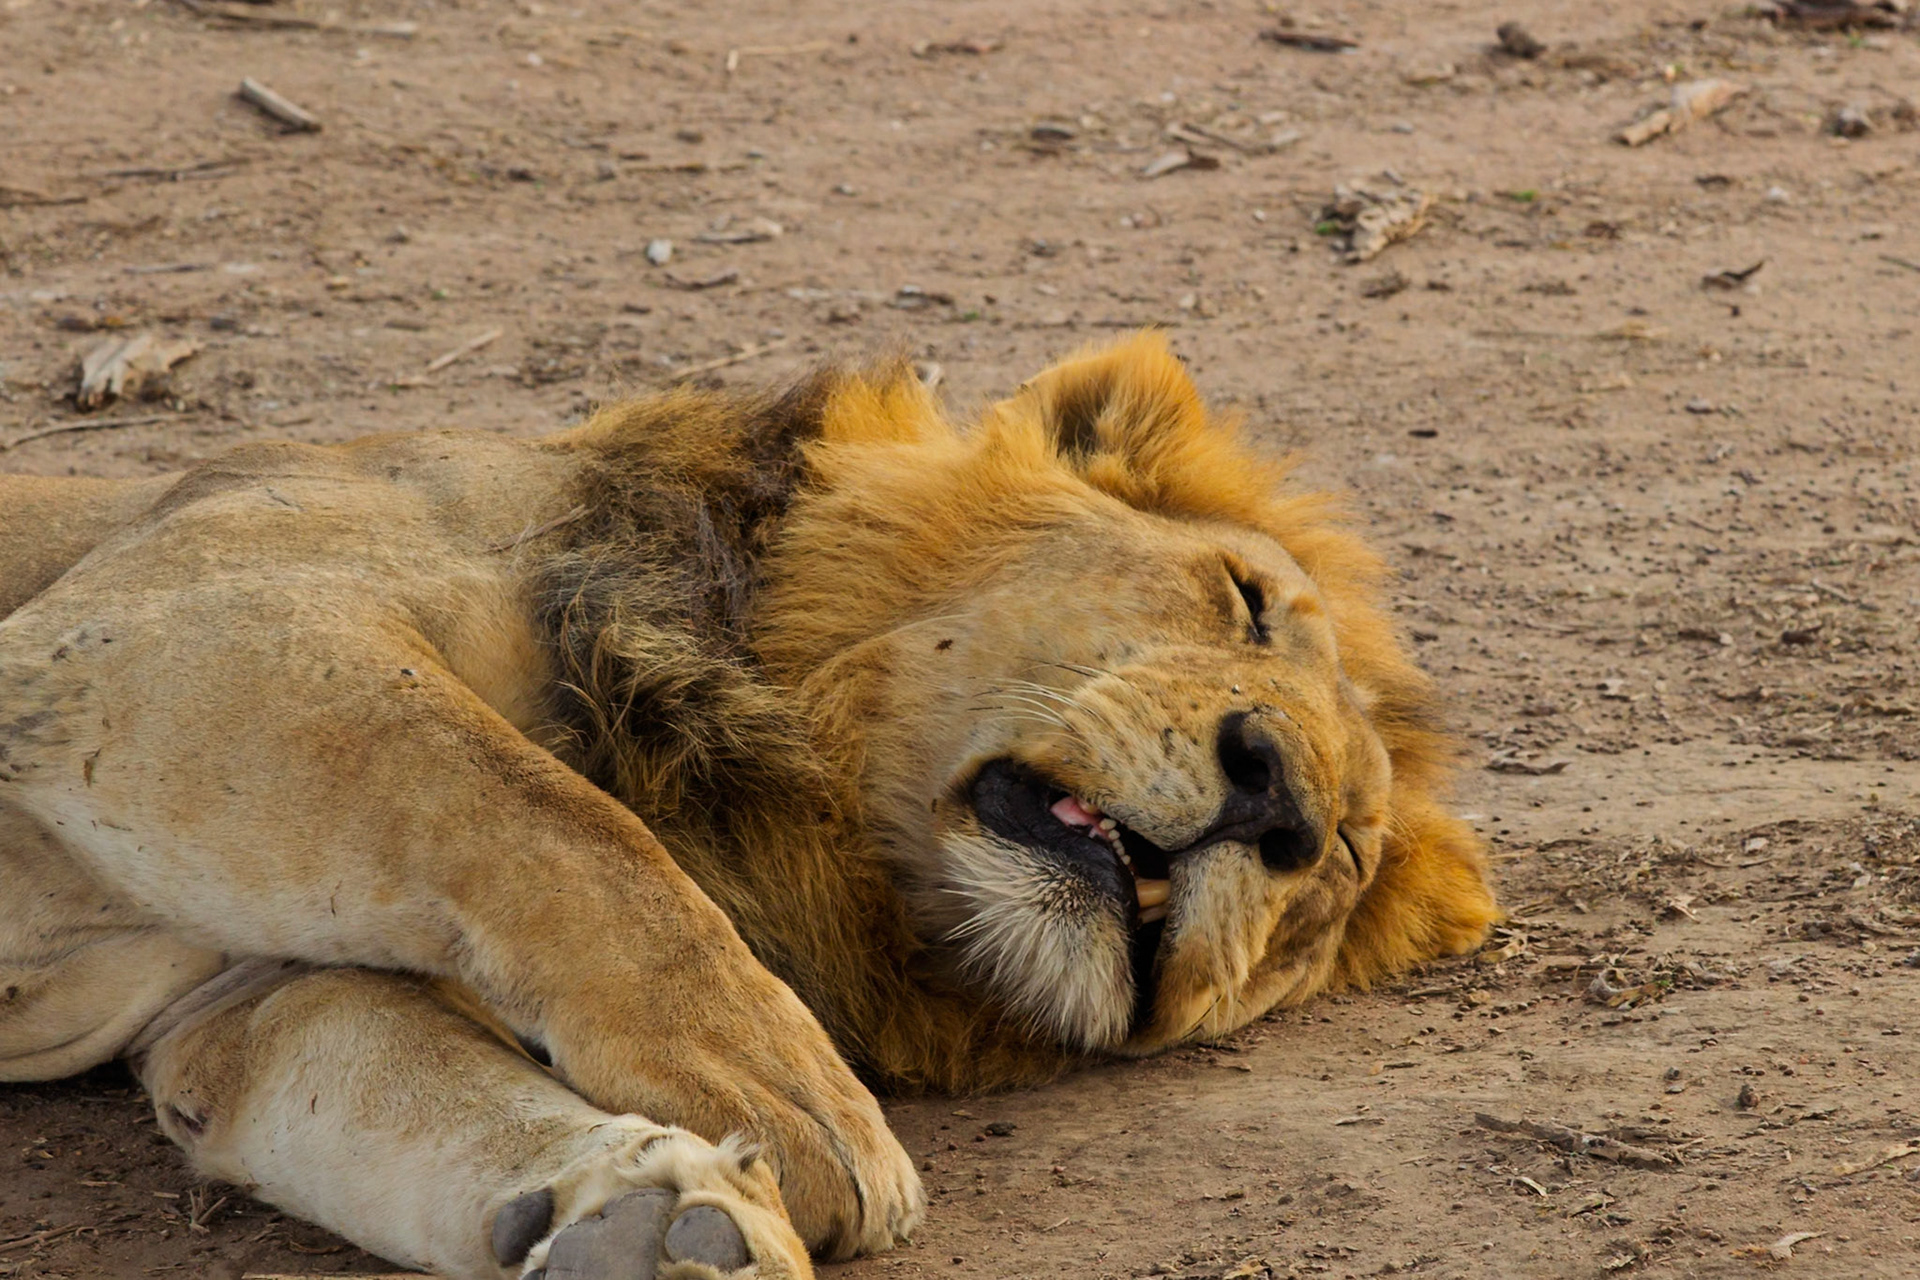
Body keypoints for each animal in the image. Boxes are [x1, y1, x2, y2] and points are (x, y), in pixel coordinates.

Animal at [0, 333, 1497, 1280]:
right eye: (1245, 601)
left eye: (1337, 858)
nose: (1277, 797)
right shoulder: (180, 612)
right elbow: (547, 821)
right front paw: (790, 1092)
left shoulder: (235, 1001)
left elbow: (389, 1081)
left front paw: (639, 1216)